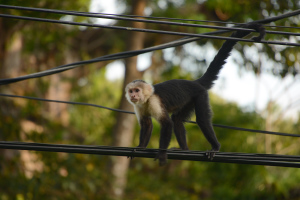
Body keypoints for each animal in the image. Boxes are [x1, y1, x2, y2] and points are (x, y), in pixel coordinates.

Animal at [124, 23, 264, 166]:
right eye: (131, 91)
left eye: (137, 90)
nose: (133, 96)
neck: (146, 99)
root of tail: (195, 82)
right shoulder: (138, 106)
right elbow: (147, 124)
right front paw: (140, 147)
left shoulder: (154, 101)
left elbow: (167, 124)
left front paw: (162, 155)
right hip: (190, 100)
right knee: (177, 119)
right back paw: (184, 149)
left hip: (200, 94)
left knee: (201, 120)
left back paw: (215, 147)